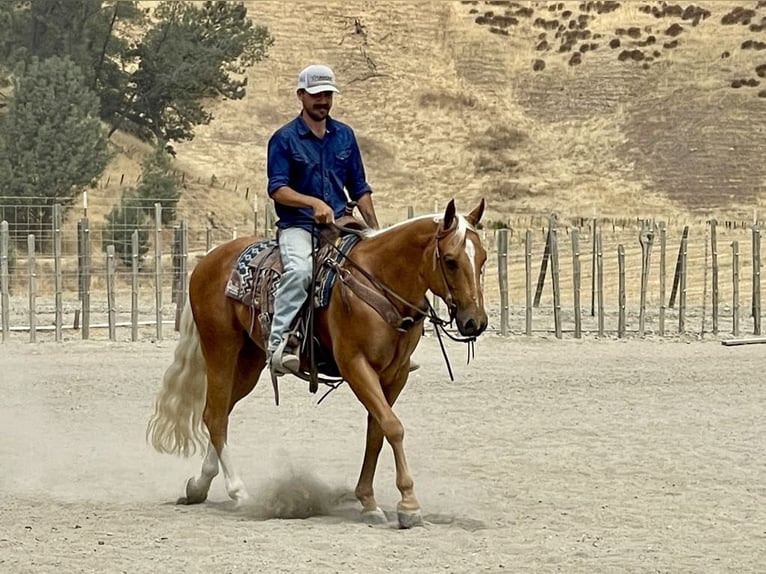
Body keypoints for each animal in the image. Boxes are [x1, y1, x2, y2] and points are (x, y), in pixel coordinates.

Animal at [146, 198, 488, 528]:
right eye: (450, 260)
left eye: (483, 259)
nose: (476, 322)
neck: (379, 281)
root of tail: (207, 260)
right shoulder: (356, 366)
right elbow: (393, 427)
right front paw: (408, 505)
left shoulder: (396, 375)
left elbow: (377, 431)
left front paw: (368, 502)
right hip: (221, 348)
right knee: (214, 416)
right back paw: (239, 492)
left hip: (249, 361)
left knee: (221, 411)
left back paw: (199, 485)